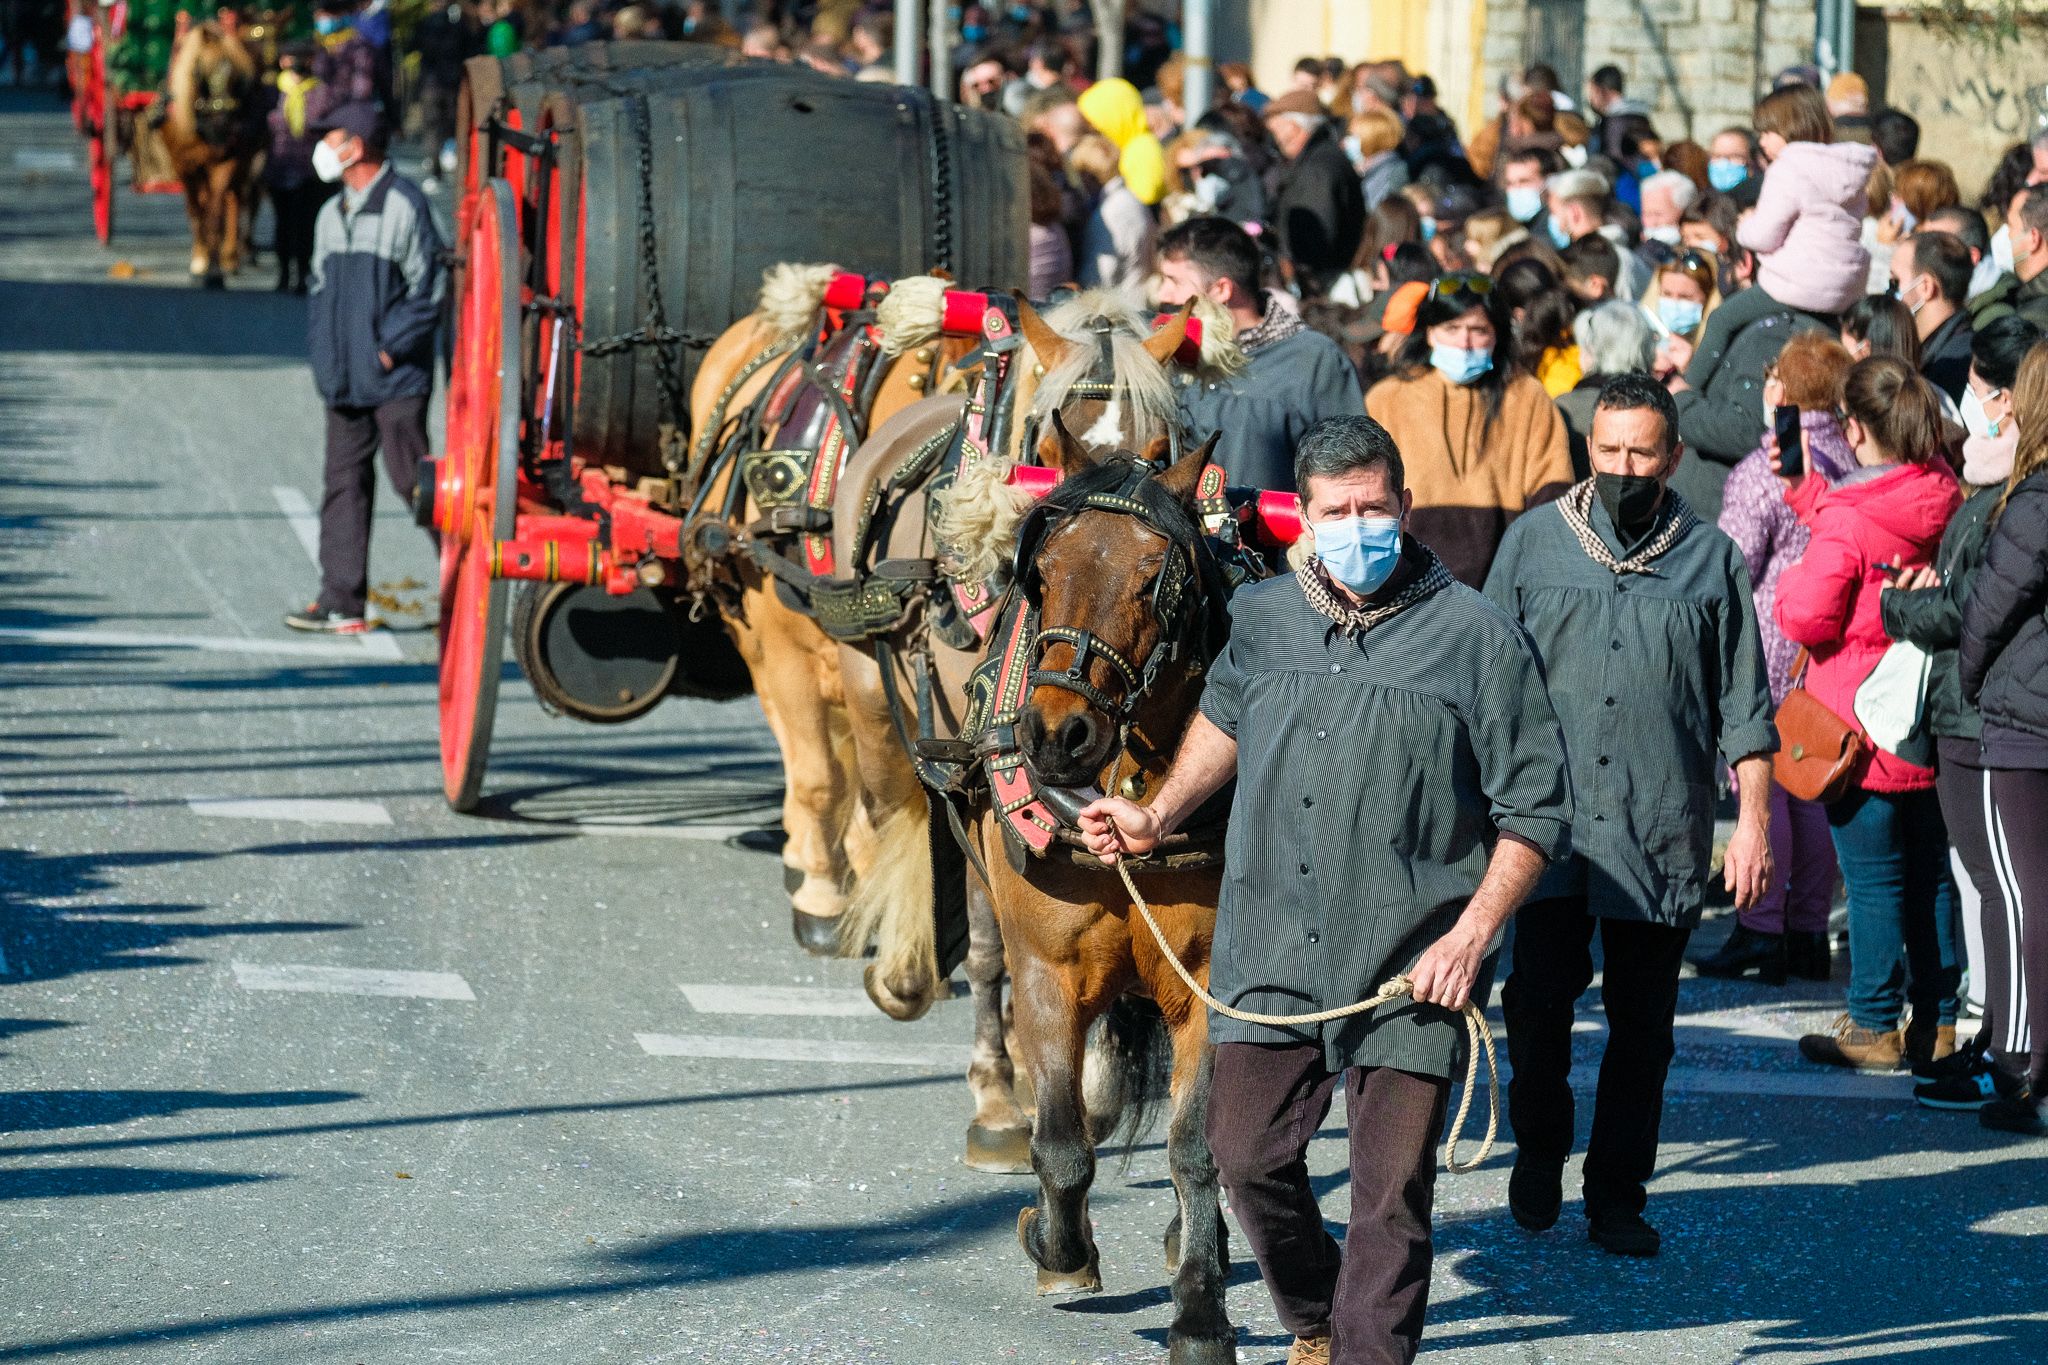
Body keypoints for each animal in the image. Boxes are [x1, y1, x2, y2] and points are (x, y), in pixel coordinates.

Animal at [160, 23, 260, 288]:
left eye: (235, 75)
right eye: (199, 71)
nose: (221, 125)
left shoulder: (226, 162)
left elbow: (214, 214)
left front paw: (214, 271)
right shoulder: (185, 167)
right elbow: (197, 212)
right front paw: (199, 263)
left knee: (234, 201)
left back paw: (230, 258)